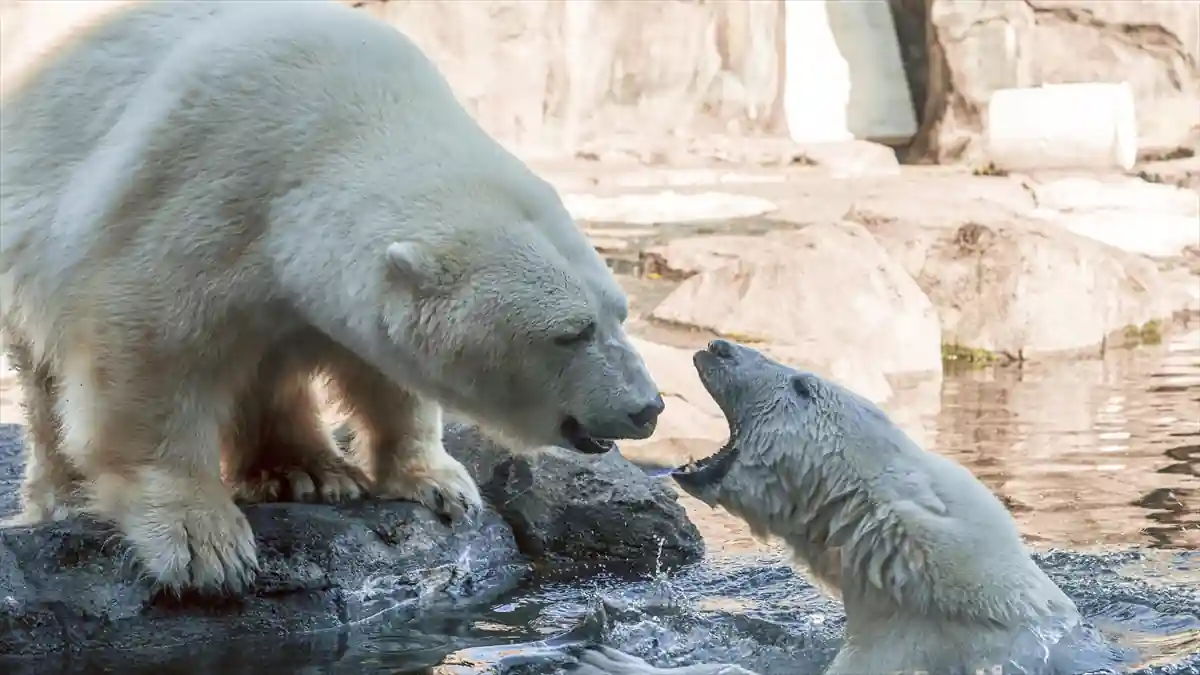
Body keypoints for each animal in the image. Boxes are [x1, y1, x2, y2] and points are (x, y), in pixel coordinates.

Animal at [0, 2, 667, 593]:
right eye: (571, 331)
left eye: (619, 313)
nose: (647, 407)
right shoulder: (197, 188)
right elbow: (147, 346)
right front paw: (203, 544)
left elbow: (387, 371)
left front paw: (443, 485)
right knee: (46, 380)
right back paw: (66, 499)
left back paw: (309, 471)